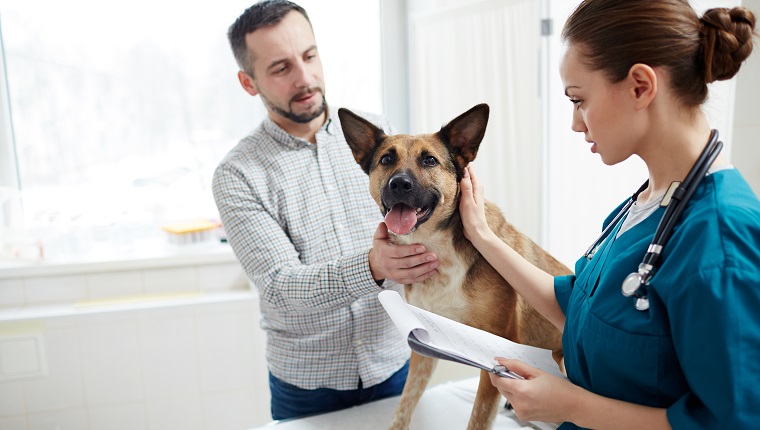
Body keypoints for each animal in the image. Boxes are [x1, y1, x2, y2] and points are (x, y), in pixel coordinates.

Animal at [338, 105, 568, 430]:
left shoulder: (495, 353)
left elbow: (478, 419)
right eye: (386, 159)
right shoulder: (423, 344)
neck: (436, 247)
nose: (399, 183)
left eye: (429, 160)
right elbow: (404, 405)